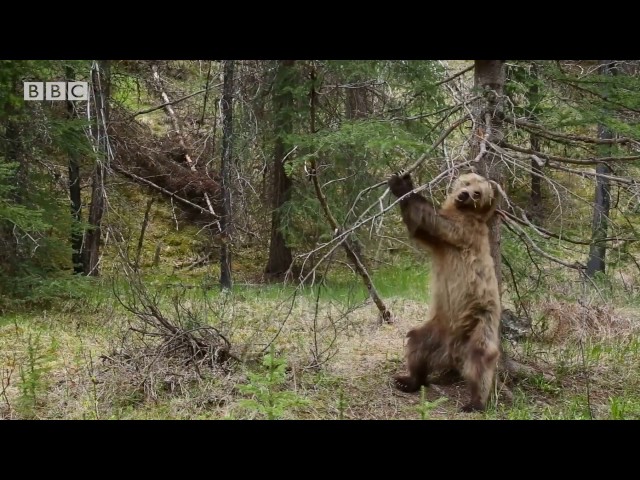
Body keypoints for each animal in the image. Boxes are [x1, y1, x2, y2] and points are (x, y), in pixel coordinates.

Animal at [388, 170, 502, 412]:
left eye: (478, 193)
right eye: (467, 182)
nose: (464, 195)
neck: (462, 211)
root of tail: (453, 351)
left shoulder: (463, 230)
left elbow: (433, 221)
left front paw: (402, 186)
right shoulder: (439, 244)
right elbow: (420, 229)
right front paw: (403, 180)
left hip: (481, 320)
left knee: (480, 360)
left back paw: (475, 402)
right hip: (436, 328)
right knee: (416, 343)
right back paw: (408, 380)